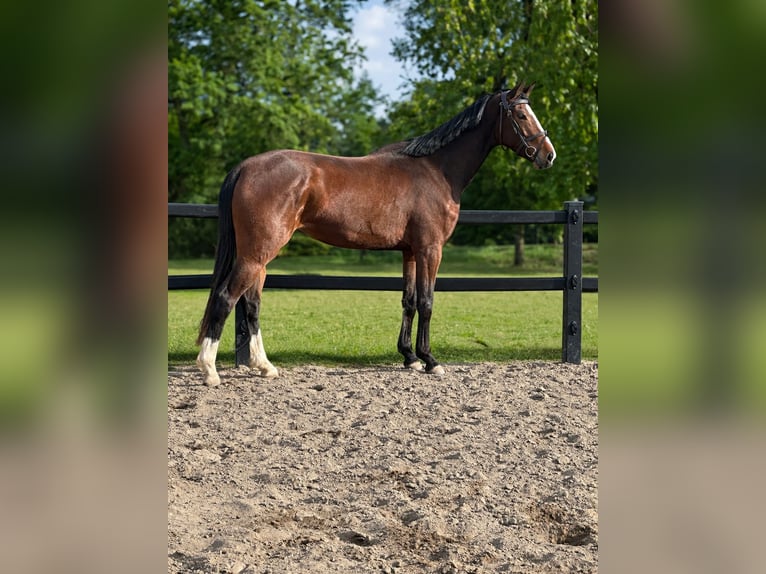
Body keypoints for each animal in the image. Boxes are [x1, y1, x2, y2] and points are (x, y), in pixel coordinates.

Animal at [196, 82, 556, 386]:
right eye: (521, 115)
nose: (548, 155)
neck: (436, 170)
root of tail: (246, 167)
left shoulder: (410, 251)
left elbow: (408, 301)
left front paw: (410, 357)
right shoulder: (430, 249)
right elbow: (427, 301)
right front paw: (430, 360)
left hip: (259, 257)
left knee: (252, 303)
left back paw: (264, 366)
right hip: (256, 253)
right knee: (227, 297)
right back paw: (210, 370)